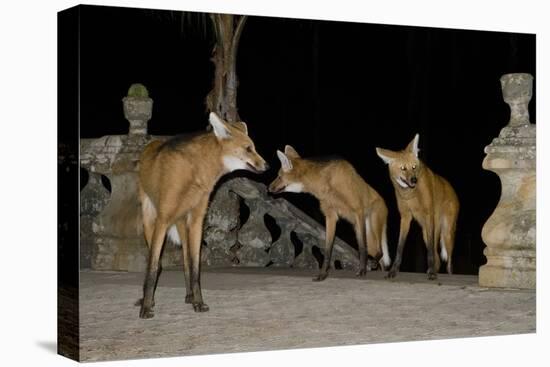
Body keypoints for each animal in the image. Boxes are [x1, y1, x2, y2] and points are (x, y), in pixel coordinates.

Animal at [136, 113, 270, 320]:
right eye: (248, 148)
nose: (267, 165)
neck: (195, 173)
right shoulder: (163, 219)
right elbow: (152, 267)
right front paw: (147, 307)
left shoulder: (197, 220)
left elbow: (195, 268)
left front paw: (198, 302)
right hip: (150, 220)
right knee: (157, 263)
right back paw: (146, 299)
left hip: (182, 223)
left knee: (185, 261)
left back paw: (189, 296)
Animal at [268, 145, 392, 280]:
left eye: (279, 177)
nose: (268, 188)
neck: (326, 183)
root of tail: (384, 202)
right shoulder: (331, 216)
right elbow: (328, 250)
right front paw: (323, 274)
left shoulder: (358, 210)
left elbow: (361, 248)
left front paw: (362, 271)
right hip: (367, 236)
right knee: (379, 255)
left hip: (370, 227)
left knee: (380, 251)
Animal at [380, 134, 462, 280]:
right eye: (403, 168)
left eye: (413, 167)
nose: (414, 180)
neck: (411, 195)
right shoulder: (405, 217)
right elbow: (400, 247)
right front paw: (394, 270)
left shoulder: (428, 214)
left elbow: (429, 251)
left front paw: (432, 273)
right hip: (425, 231)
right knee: (437, 258)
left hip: (447, 233)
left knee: (448, 262)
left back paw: (445, 273)